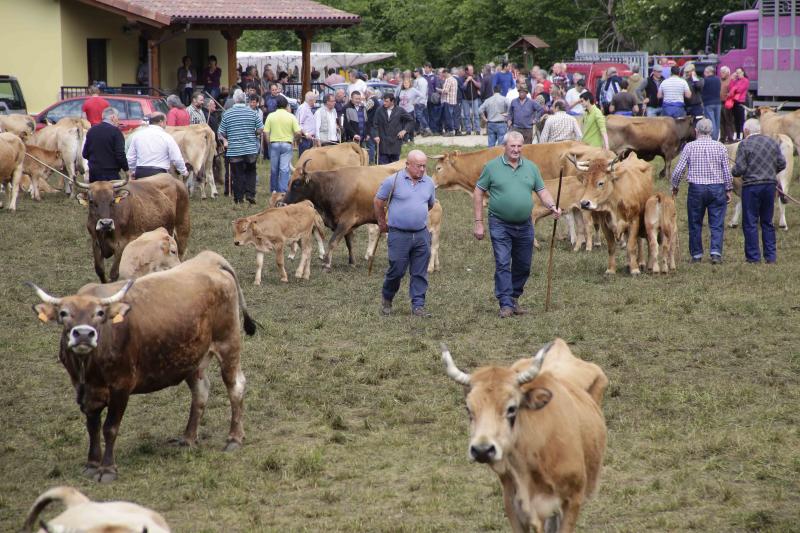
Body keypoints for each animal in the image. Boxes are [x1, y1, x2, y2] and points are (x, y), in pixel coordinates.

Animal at [28, 250, 255, 482]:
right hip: (192, 357)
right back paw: (188, 438)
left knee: (235, 386)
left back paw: (234, 438)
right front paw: (92, 464)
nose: (83, 334)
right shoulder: (84, 389)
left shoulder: (121, 387)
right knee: (200, 392)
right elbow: (92, 426)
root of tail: (210, 259)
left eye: (100, 313)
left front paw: (107, 469)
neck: (89, 366)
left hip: (228, 344)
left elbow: (110, 427)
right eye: (63, 313)